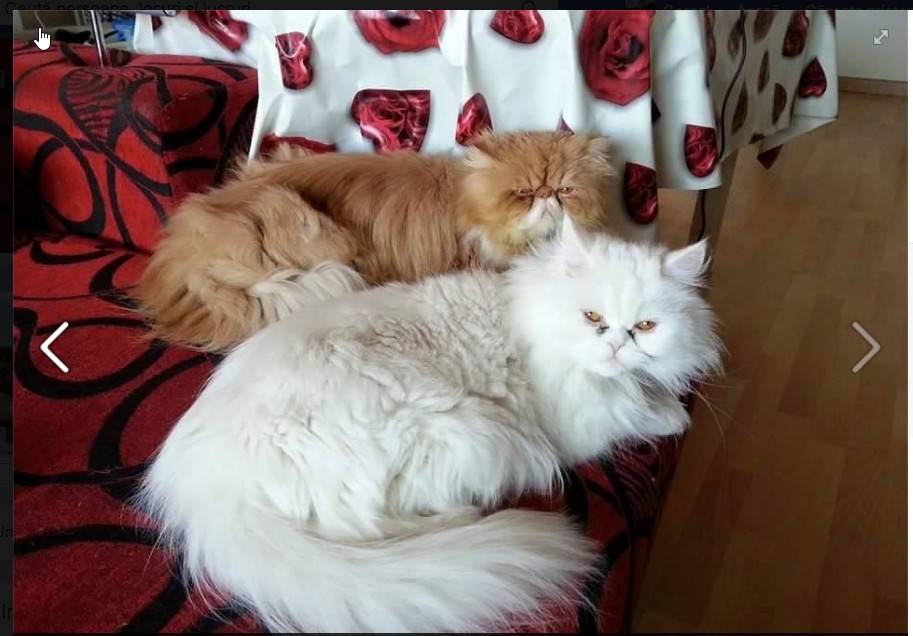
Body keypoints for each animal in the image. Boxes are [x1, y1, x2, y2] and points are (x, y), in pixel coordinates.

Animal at [131, 131, 623, 352]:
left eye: (565, 191)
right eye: (523, 193)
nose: (548, 198)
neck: (463, 199)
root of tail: (183, 255)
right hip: (311, 230)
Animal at [136, 218, 722, 633]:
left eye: (645, 325)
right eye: (593, 318)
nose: (618, 344)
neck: (530, 315)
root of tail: (203, 481)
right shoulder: (577, 426)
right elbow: (634, 414)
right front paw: (673, 414)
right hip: (472, 437)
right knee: (371, 527)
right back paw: (464, 518)